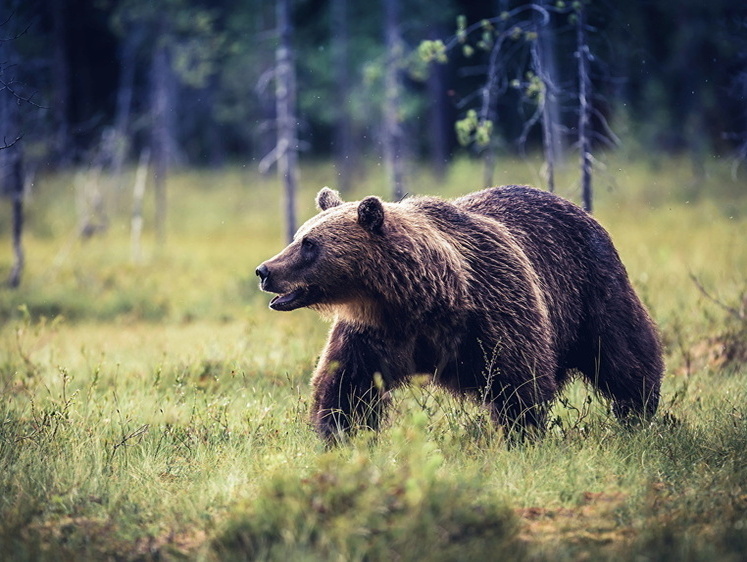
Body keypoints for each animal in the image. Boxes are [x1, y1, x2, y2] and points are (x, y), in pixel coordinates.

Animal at [258, 186, 668, 440]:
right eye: (298, 236)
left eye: (309, 244)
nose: (265, 271)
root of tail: (581, 210)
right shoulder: (374, 331)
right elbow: (347, 384)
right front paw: (340, 433)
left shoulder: (495, 306)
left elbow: (519, 379)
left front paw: (521, 433)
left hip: (593, 288)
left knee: (623, 353)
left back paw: (638, 410)